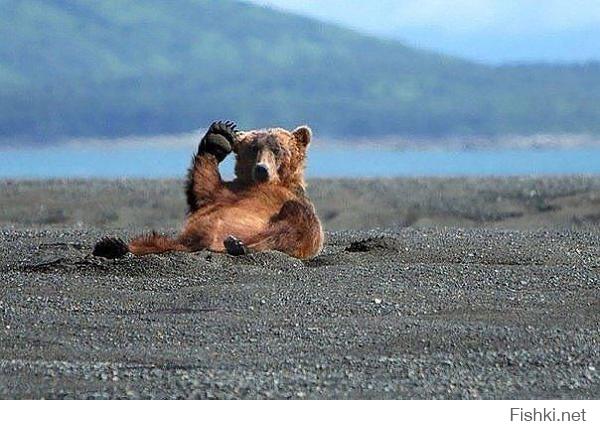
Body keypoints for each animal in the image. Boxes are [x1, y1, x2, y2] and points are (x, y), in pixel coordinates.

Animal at [93, 122, 324, 262]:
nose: (261, 169)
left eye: (277, 150)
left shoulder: (291, 199)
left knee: (292, 226)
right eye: (253, 149)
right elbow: (204, 186)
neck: (266, 185)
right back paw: (112, 245)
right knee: (154, 243)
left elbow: (304, 228)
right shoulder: (227, 193)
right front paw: (219, 136)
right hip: (181, 242)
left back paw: (239, 245)